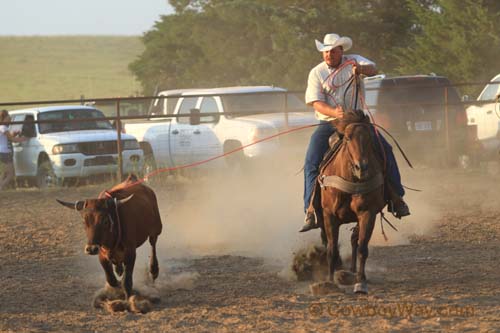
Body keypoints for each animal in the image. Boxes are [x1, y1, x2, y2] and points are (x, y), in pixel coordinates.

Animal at [318, 109, 384, 294]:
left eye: (369, 137)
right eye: (347, 138)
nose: (361, 168)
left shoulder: (368, 213)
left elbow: (362, 248)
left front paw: (360, 282)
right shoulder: (329, 215)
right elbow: (331, 249)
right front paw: (329, 282)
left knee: (355, 240)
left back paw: (353, 273)